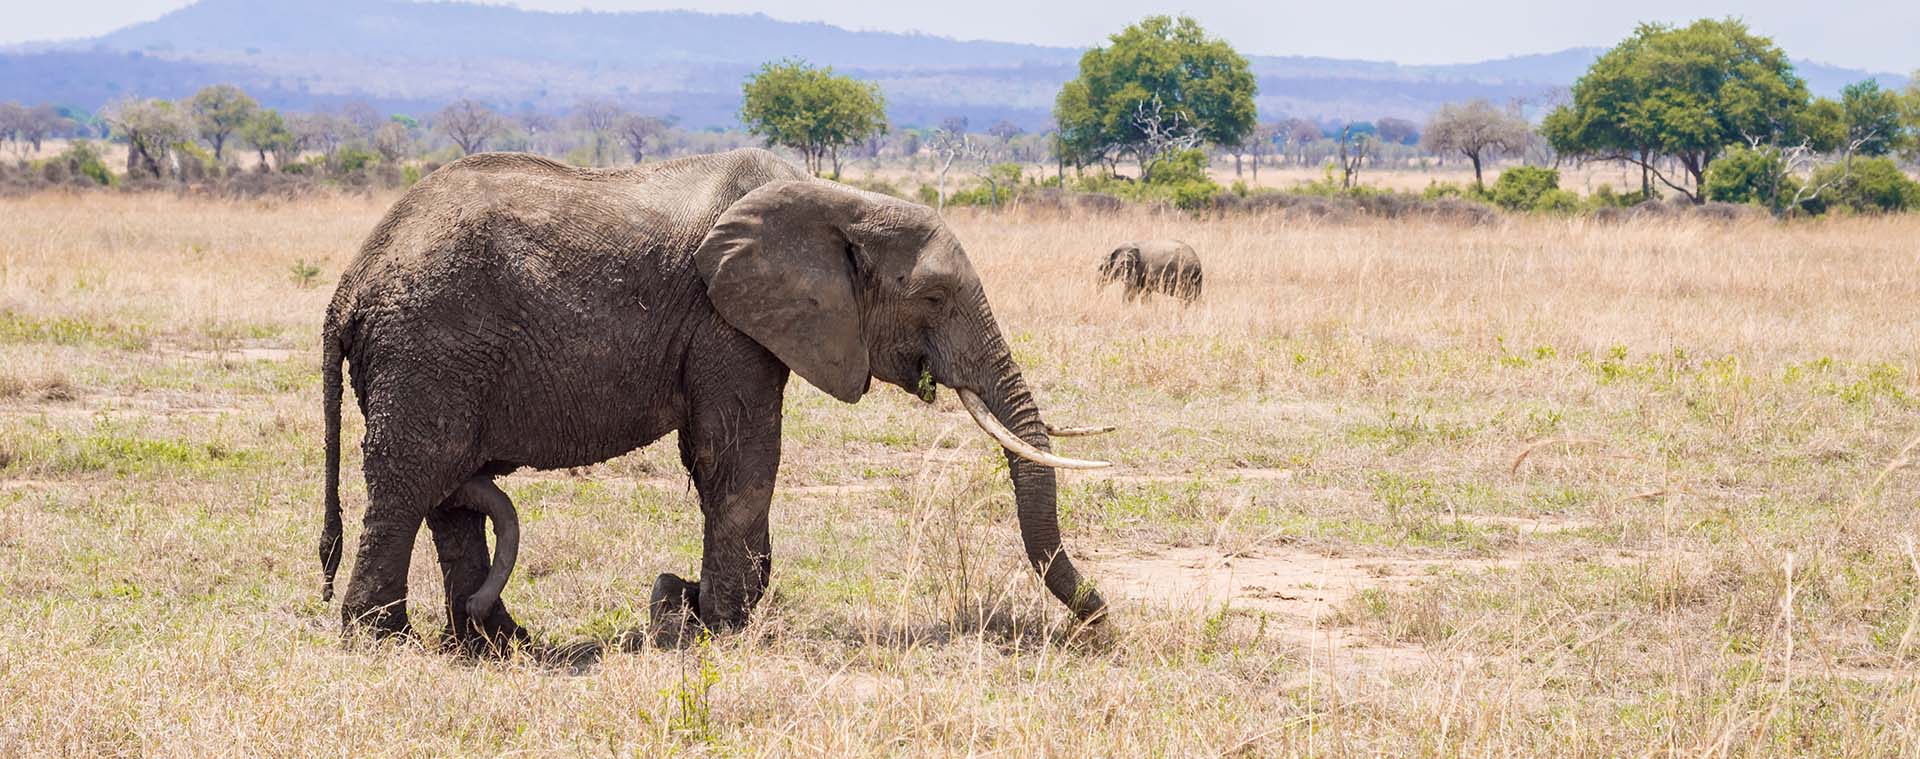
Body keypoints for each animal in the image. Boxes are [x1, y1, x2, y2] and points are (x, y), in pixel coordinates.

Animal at [314, 149, 1113, 653]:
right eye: (935, 297)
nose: (1101, 619)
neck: (840, 201)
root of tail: (349, 284)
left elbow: (717, 460)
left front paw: (691, 606)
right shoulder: (723, 318)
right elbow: (738, 454)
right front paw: (723, 624)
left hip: (435, 358)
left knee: (451, 493)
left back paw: (492, 640)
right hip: (429, 347)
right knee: (413, 479)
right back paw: (383, 641)